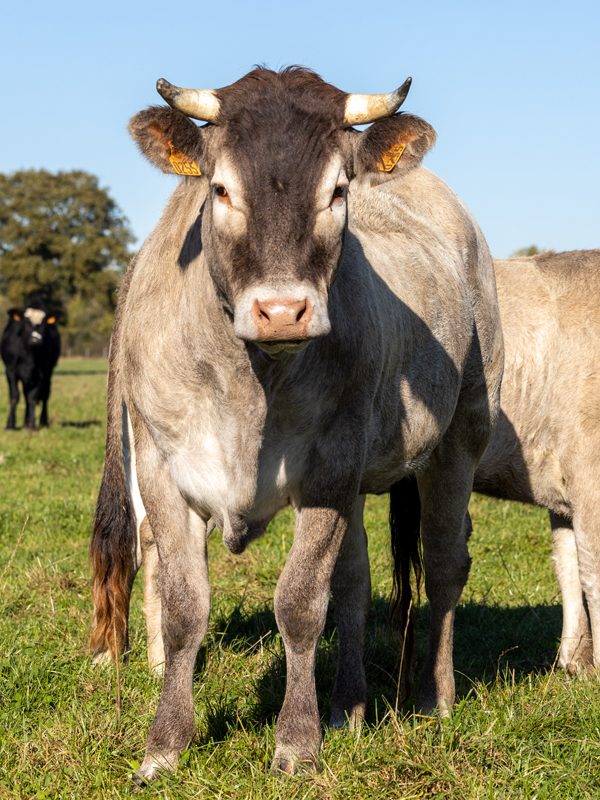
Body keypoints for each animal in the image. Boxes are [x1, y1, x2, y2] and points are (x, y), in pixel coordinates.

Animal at [1, 304, 61, 432]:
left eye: (44, 323)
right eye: (26, 322)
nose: (35, 339)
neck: (29, 354)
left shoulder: (43, 373)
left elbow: (33, 398)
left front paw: (32, 426)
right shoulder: (10, 371)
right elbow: (14, 397)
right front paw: (10, 425)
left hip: (47, 375)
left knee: (44, 395)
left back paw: (42, 422)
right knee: (25, 394)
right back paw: (25, 422)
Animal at [88, 69, 502, 780]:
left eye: (337, 190)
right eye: (220, 188)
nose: (283, 311)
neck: (248, 382)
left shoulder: (329, 469)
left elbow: (301, 603)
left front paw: (298, 741)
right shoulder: (164, 472)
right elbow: (185, 608)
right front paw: (165, 745)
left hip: (459, 439)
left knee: (446, 563)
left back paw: (433, 697)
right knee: (356, 582)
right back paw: (349, 706)